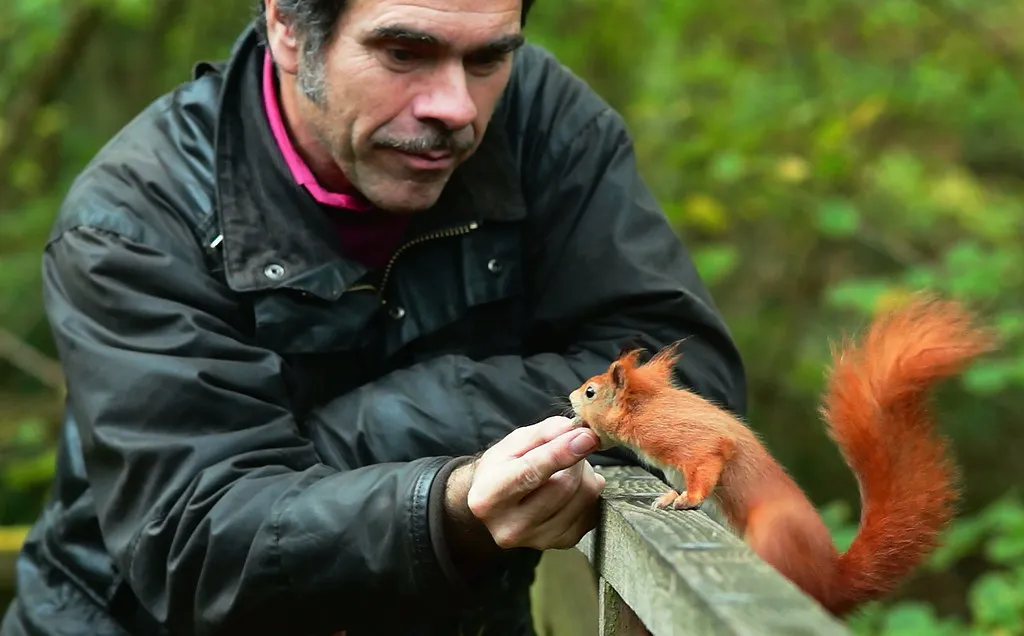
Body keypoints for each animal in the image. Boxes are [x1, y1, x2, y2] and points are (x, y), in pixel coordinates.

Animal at [568, 294, 997, 617]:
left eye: (590, 391)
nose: (570, 399)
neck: (646, 407)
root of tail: (830, 581)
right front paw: (670, 495)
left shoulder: (687, 438)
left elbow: (707, 462)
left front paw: (685, 499)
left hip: (775, 533)